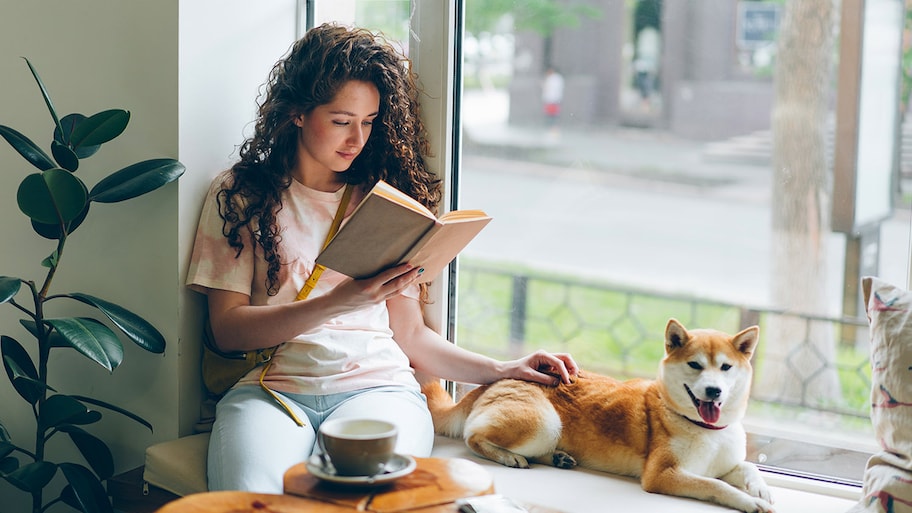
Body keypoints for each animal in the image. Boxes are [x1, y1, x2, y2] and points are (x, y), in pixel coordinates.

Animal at [424, 318, 772, 510]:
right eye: (695, 365)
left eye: (725, 367)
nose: (713, 391)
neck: (705, 429)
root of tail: (494, 381)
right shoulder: (663, 474)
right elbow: (717, 486)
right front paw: (750, 502)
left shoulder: (724, 463)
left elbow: (746, 468)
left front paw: (760, 489)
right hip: (544, 424)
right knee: (472, 437)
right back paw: (509, 456)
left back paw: (558, 458)